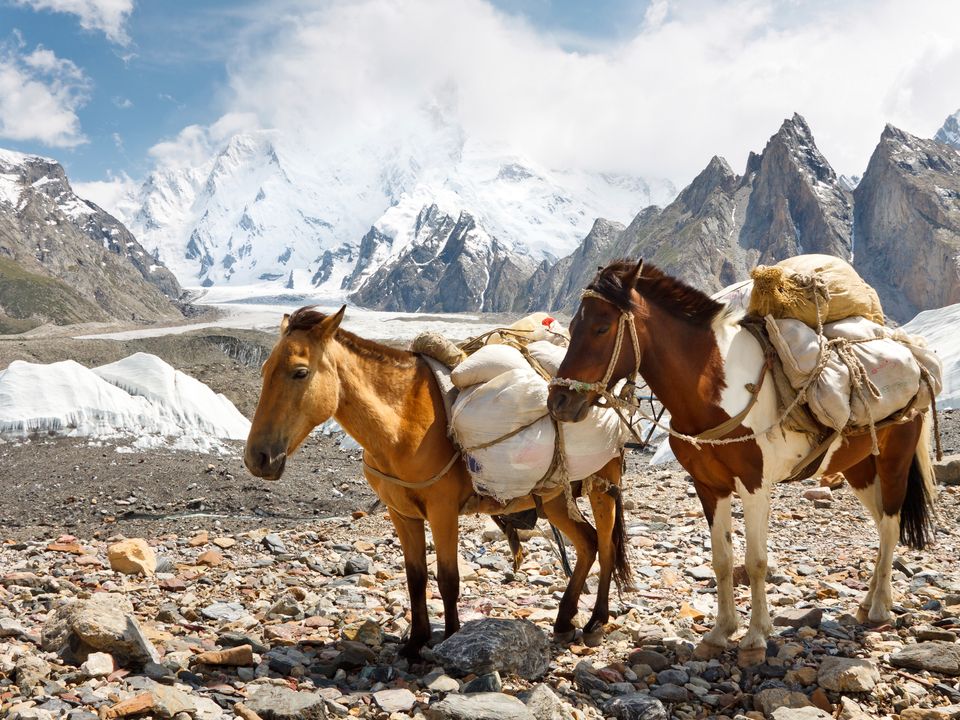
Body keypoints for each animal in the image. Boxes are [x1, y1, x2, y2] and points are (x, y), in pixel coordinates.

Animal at [242, 304, 632, 660]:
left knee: (606, 545)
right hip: (553, 498)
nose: (258, 458)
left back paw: (595, 621)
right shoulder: (401, 513)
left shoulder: (442, 511)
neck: (403, 423)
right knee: (588, 543)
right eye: (263, 370)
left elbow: (448, 578)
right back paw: (565, 620)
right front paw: (415, 643)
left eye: (300, 372)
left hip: (602, 485)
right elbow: (416, 578)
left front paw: (452, 638)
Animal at [552, 258, 932, 664]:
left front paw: (755, 639)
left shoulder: (754, 486)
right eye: (572, 327)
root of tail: (914, 360)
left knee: (890, 525)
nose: (558, 402)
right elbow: (722, 560)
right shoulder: (710, 487)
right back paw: (867, 603)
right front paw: (720, 633)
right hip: (857, 467)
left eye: (601, 327)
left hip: (894, 460)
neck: (713, 388)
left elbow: (755, 562)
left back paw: (879, 608)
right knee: (880, 523)